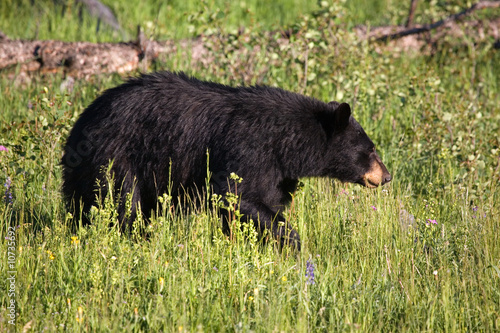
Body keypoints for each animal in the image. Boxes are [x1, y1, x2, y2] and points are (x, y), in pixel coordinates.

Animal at [61, 72, 390, 249]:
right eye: (370, 148)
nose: (386, 176)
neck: (285, 141)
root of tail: (79, 125)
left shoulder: (277, 171)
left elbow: (264, 201)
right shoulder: (247, 148)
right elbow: (236, 195)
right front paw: (292, 243)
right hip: (117, 156)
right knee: (122, 201)